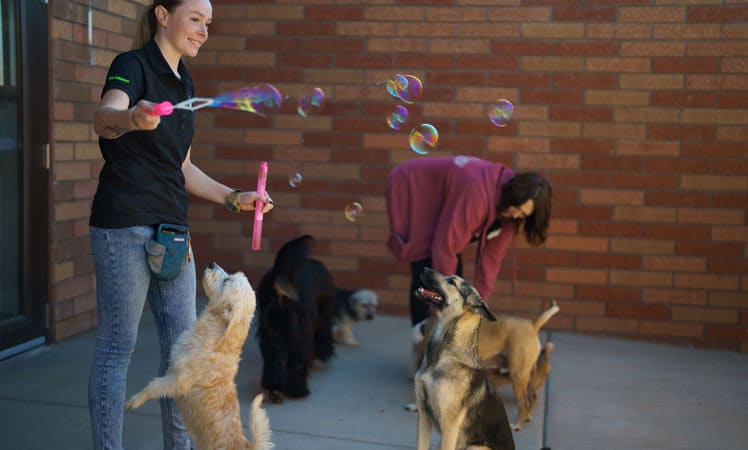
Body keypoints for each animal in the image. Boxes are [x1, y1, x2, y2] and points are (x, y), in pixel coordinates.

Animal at [124, 262, 274, 450]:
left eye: (226, 281)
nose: (212, 264)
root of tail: (247, 445)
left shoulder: (177, 381)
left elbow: (154, 385)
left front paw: (134, 400)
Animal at [258, 234, 338, 402]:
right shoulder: (322, 320)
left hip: (269, 332)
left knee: (272, 361)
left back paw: (274, 388)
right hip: (301, 332)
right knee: (297, 361)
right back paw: (298, 391)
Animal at [476, 300, 560, 430]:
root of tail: (532, 325)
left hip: (518, 377)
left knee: (524, 403)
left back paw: (517, 425)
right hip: (530, 377)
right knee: (532, 398)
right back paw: (527, 417)